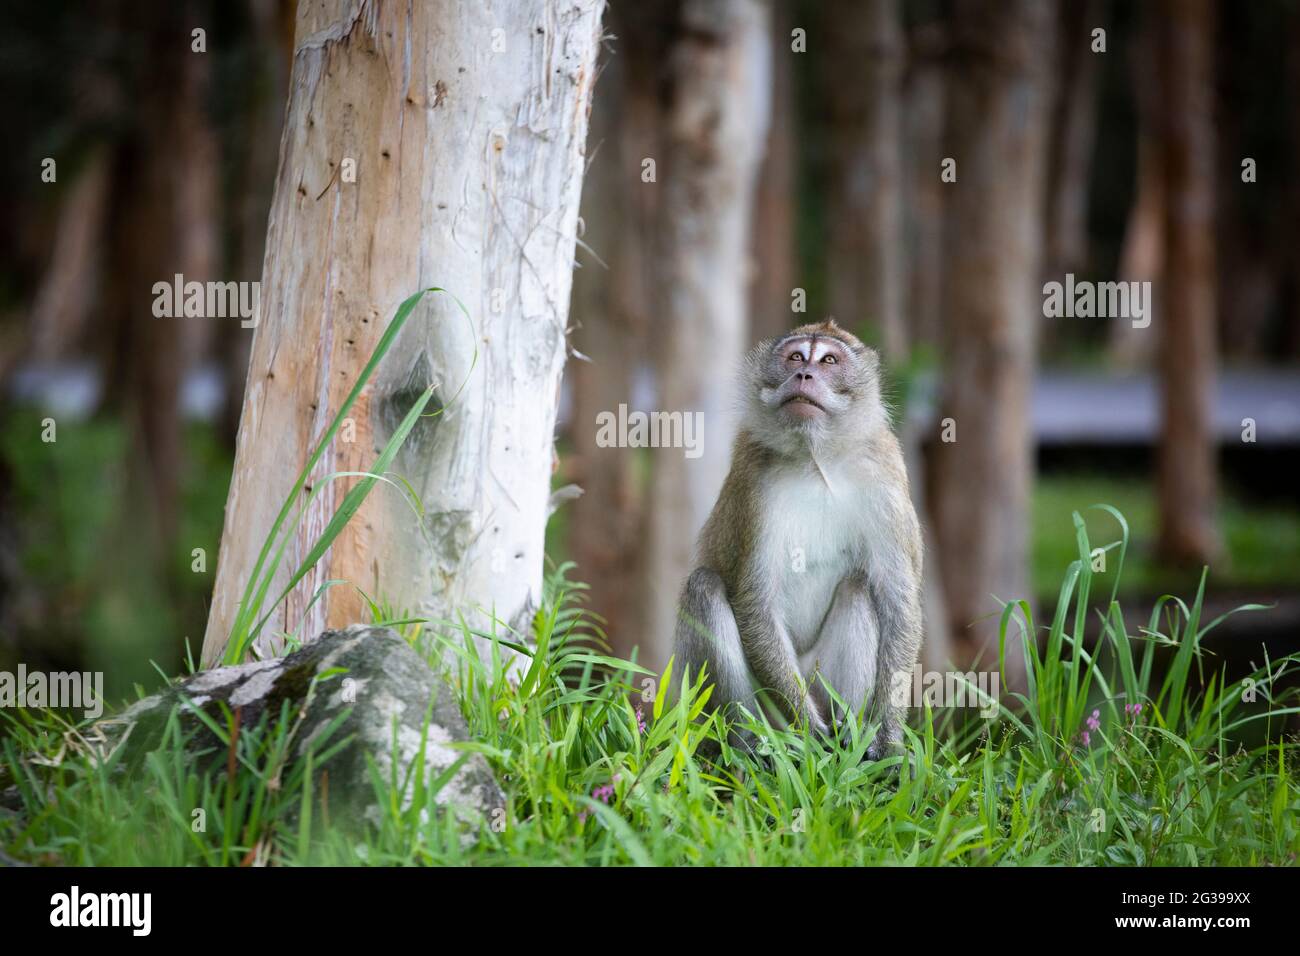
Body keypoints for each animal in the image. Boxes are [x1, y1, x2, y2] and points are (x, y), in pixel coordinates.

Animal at [673, 319, 922, 759]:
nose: (804, 375)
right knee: (704, 587)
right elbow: (755, 601)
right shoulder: (754, 483)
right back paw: (753, 747)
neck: (815, 458)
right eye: (794, 357)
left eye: (829, 361)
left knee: (858, 587)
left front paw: (888, 739)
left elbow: (897, 600)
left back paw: (849, 740)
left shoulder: (885, 476)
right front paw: (808, 728)